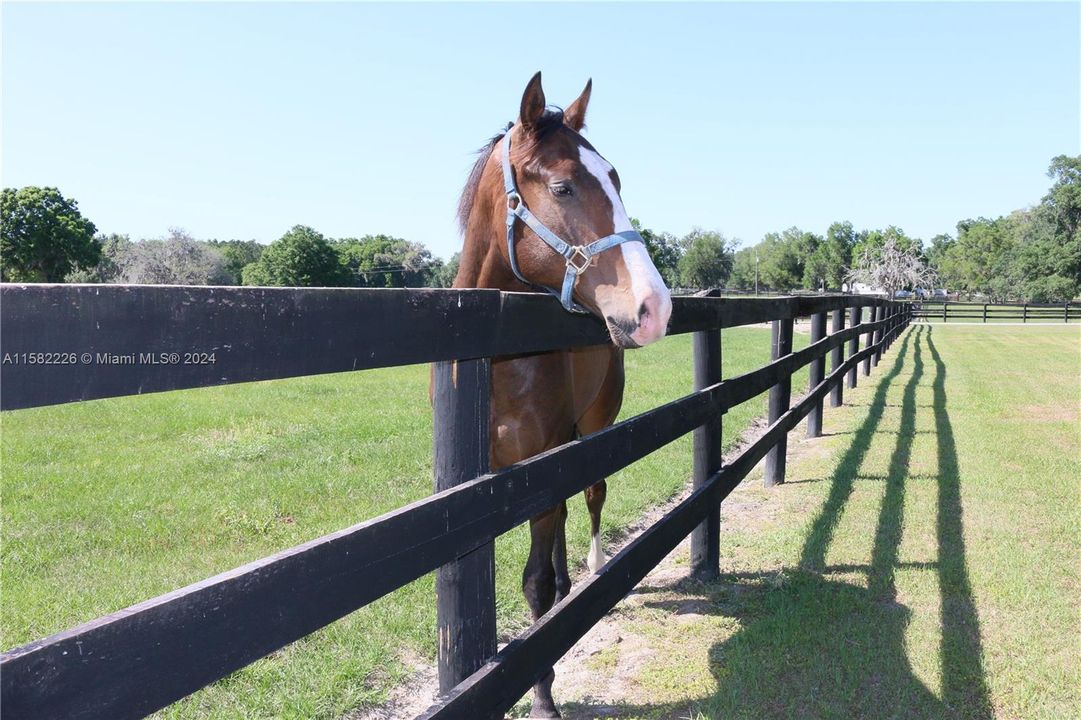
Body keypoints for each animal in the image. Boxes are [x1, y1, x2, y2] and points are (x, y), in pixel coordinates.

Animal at [447, 71, 665, 713]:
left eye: (616, 178)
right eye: (564, 186)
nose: (655, 307)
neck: (495, 363)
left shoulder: (537, 474)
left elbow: (535, 583)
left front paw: (542, 693)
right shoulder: (479, 491)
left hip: (592, 429)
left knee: (590, 497)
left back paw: (589, 570)